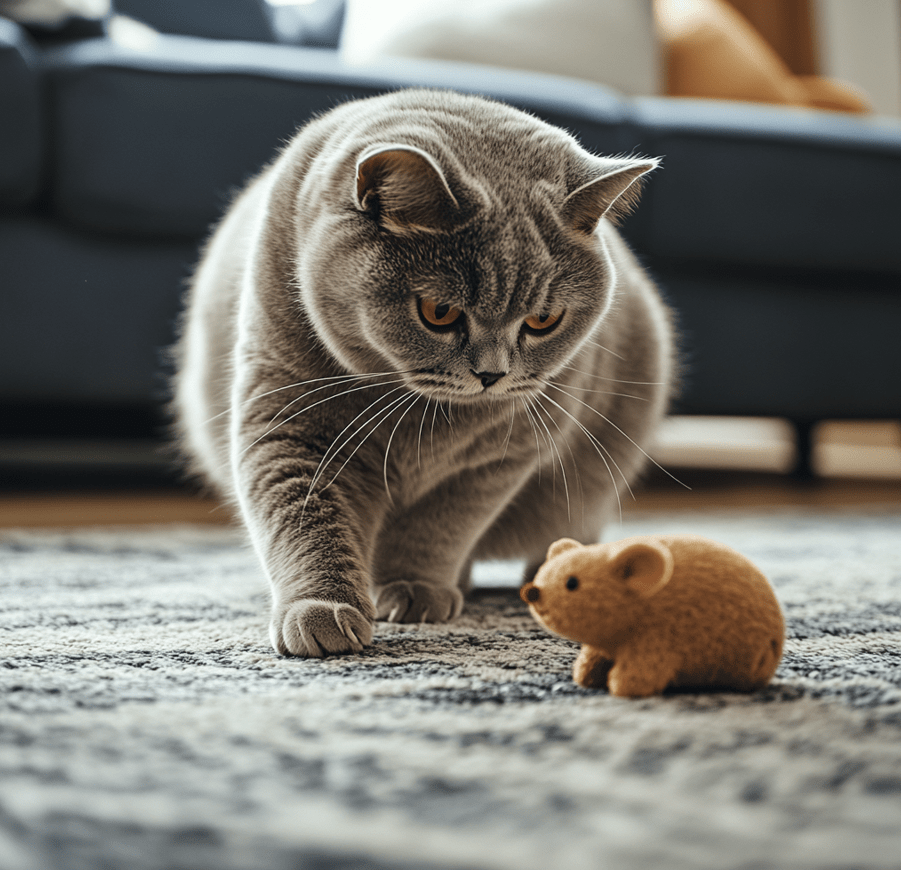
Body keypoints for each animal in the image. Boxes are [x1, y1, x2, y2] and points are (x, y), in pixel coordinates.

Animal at [172, 90, 676, 660]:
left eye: (543, 320)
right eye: (439, 312)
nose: (492, 374)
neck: (420, 419)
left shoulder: (499, 456)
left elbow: (440, 527)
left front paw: (416, 590)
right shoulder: (288, 418)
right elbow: (304, 516)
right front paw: (322, 610)